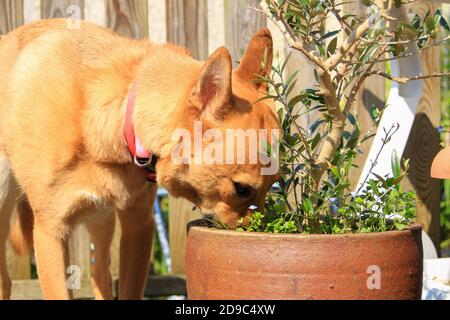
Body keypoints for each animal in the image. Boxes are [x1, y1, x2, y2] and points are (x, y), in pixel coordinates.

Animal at [0, 19, 278, 300]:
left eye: (272, 184)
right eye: (241, 189)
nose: (260, 233)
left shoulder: (138, 223)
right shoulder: (50, 233)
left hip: (101, 218)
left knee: (100, 274)